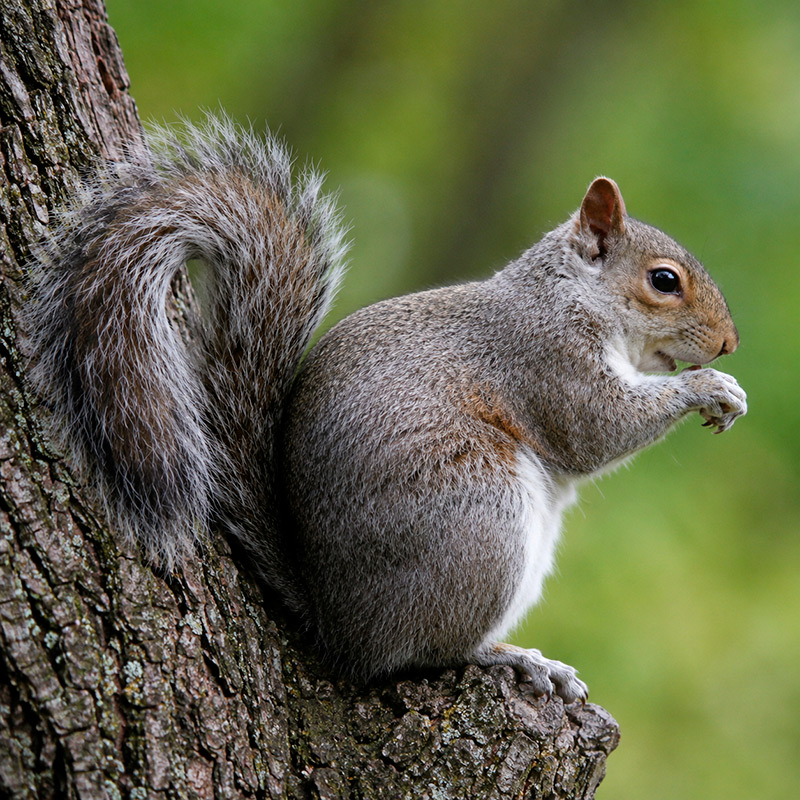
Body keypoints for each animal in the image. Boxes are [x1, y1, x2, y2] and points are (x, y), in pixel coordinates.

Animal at [26, 114, 747, 703]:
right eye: (663, 281)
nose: (728, 343)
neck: (570, 295)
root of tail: (339, 625)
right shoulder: (544, 359)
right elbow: (596, 429)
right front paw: (711, 388)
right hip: (478, 518)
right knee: (419, 654)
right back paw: (510, 658)